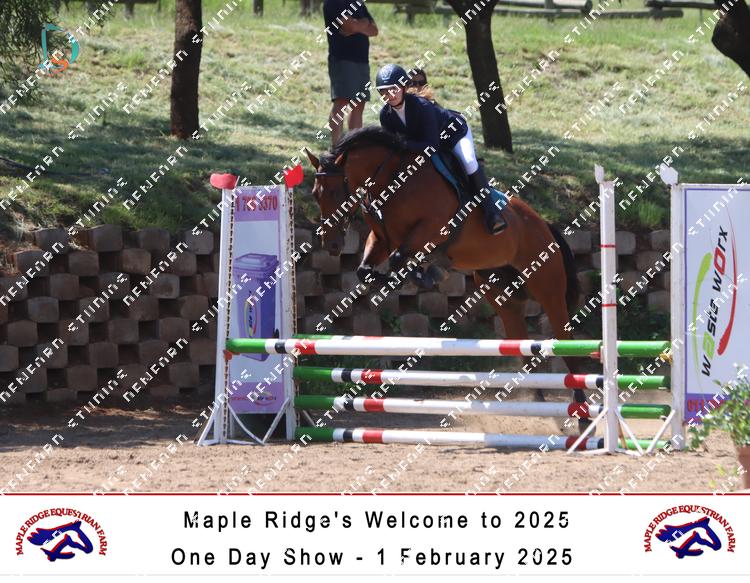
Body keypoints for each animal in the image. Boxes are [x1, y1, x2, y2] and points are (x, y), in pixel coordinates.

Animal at [304, 126, 589, 433]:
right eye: (315, 194)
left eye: (336, 190)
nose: (332, 244)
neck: (391, 179)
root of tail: (544, 225)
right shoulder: (380, 238)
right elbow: (366, 269)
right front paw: (408, 277)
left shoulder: (431, 229)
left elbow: (398, 258)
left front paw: (426, 274)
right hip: (504, 298)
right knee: (524, 349)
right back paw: (542, 408)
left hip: (549, 291)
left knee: (568, 346)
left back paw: (583, 416)